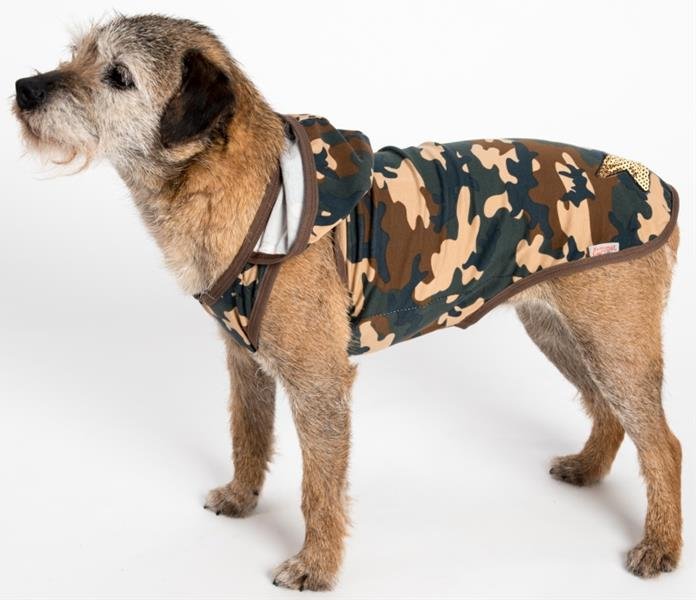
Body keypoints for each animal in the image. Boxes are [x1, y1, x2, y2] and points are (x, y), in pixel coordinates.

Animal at [13, 14, 682, 591]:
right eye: (76, 54)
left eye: (118, 76)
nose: (23, 88)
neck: (243, 189)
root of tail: (659, 183)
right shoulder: (245, 361)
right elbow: (247, 435)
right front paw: (241, 498)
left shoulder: (319, 382)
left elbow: (319, 486)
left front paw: (316, 566)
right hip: (559, 335)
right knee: (608, 411)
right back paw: (589, 469)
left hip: (614, 345)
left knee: (663, 444)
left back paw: (661, 546)